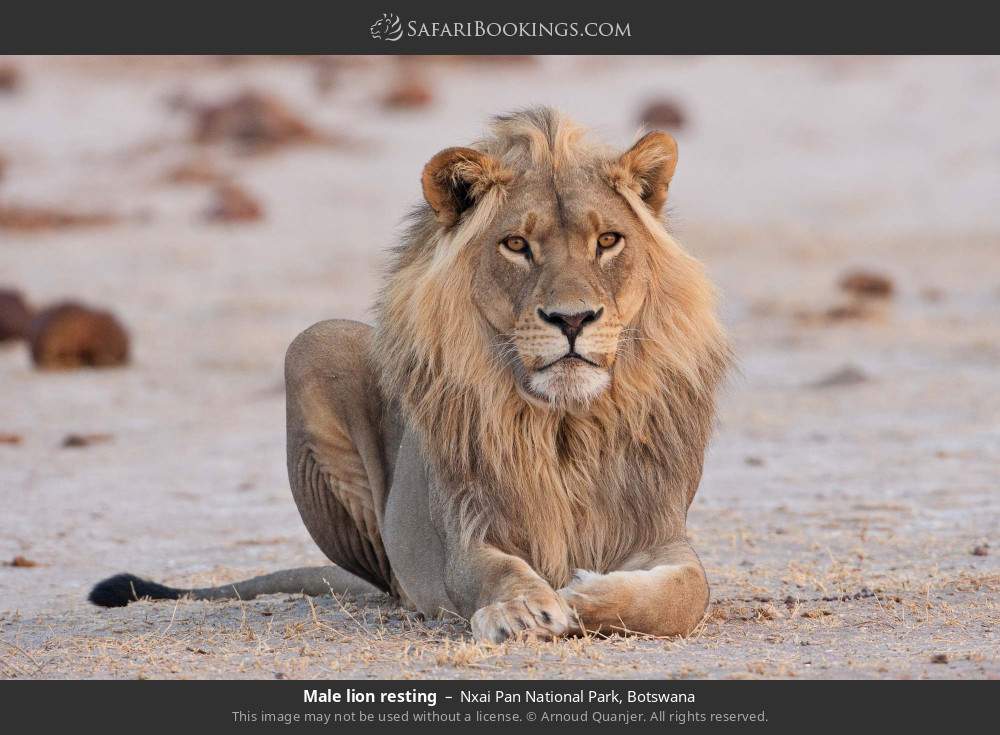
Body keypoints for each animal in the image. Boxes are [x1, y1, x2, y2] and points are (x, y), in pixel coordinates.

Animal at [90, 107, 731, 643]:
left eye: (608, 240)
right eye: (516, 244)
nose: (572, 319)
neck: (564, 424)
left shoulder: (658, 528)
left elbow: (685, 593)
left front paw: (584, 596)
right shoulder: (466, 529)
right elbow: (492, 571)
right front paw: (524, 607)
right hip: (314, 345)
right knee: (392, 579)